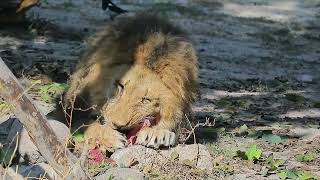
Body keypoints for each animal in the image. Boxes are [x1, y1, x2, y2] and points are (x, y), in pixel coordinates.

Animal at [63, 12, 199, 150]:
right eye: (120, 86)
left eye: (146, 100)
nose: (118, 125)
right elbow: (87, 126)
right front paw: (110, 137)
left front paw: (157, 134)